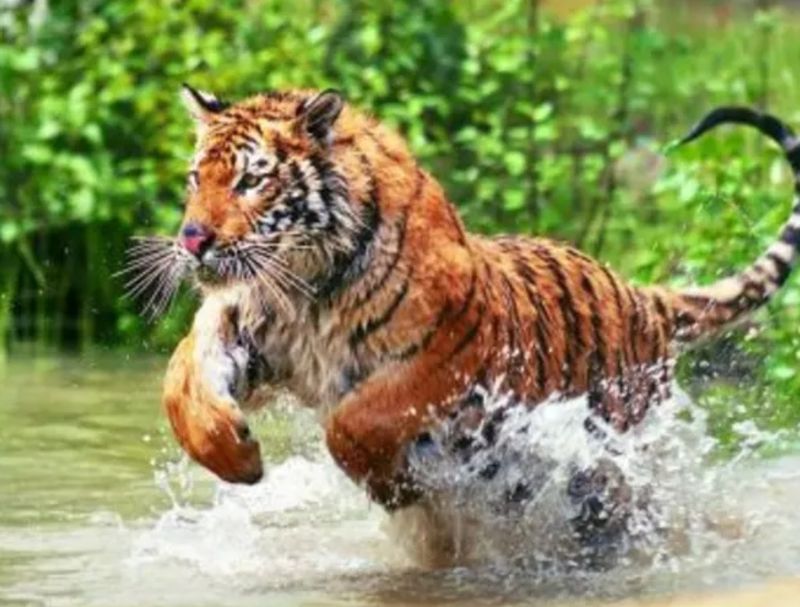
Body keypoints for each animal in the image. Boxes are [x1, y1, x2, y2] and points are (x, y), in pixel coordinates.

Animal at [132, 86, 800, 522]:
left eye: (251, 180)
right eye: (196, 178)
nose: (192, 241)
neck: (305, 284)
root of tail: (643, 296)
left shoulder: (446, 354)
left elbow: (354, 421)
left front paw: (396, 490)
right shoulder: (241, 326)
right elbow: (178, 386)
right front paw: (237, 458)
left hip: (613, 458)